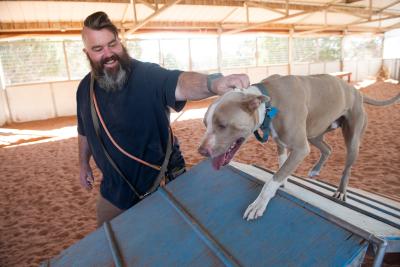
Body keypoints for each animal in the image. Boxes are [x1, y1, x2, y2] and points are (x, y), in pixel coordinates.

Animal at [199, 74, 400, 222]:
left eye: (222, 125)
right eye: (205, 124)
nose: (201, 151)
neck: (270, 102)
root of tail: (356, 91)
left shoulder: (300, 148)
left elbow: (272, 180)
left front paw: (258, 204)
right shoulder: (281, 143)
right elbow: (281, 166)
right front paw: (283, 181)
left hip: (351, 138)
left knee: (348, 166)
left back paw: (341, 191)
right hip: (314, 133)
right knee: (328, 149)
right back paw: (315, 170)